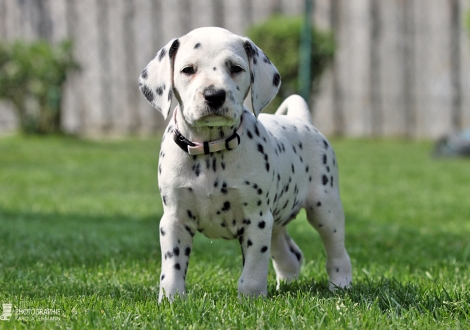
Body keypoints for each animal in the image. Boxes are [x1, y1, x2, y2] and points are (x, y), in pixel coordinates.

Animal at [140, 27, 352, 302]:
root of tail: (301, 121)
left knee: (337, 252)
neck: (211, 149)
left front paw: (251, 301)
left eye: (235, 68)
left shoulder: (256, 220)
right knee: (290, 256)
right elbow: (173, 267)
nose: (214, 95)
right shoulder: (174, 220)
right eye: (188, 69)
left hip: (324, 209)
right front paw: (171, 300)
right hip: (277, 221)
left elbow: (252, 270)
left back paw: (341, 285)